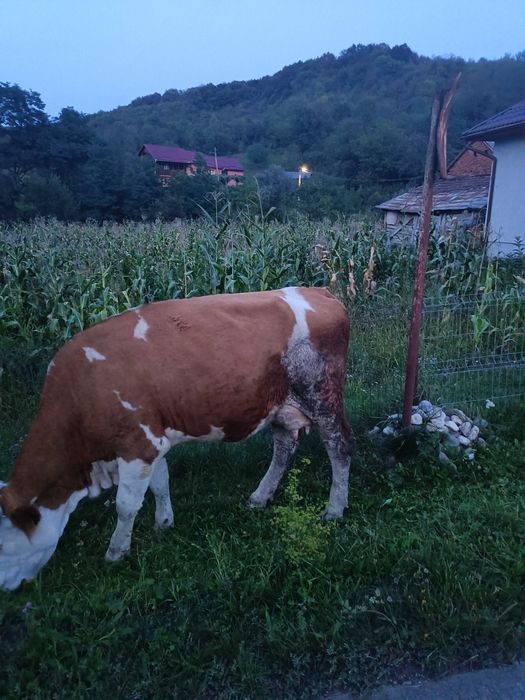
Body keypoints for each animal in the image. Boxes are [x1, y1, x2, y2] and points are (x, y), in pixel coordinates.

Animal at [0, 287, 354, 590]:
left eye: (2, 545)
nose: (6, 589)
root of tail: (317, 291)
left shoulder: (136, 444)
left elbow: (126, 505)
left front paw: (116, 552)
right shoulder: (152, 440)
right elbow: (160, 482)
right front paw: (164, 524)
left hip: (321, 393)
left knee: (340, 447)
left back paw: (334, 508)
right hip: (280, 403)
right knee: (284, 446)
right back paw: (260, 496)